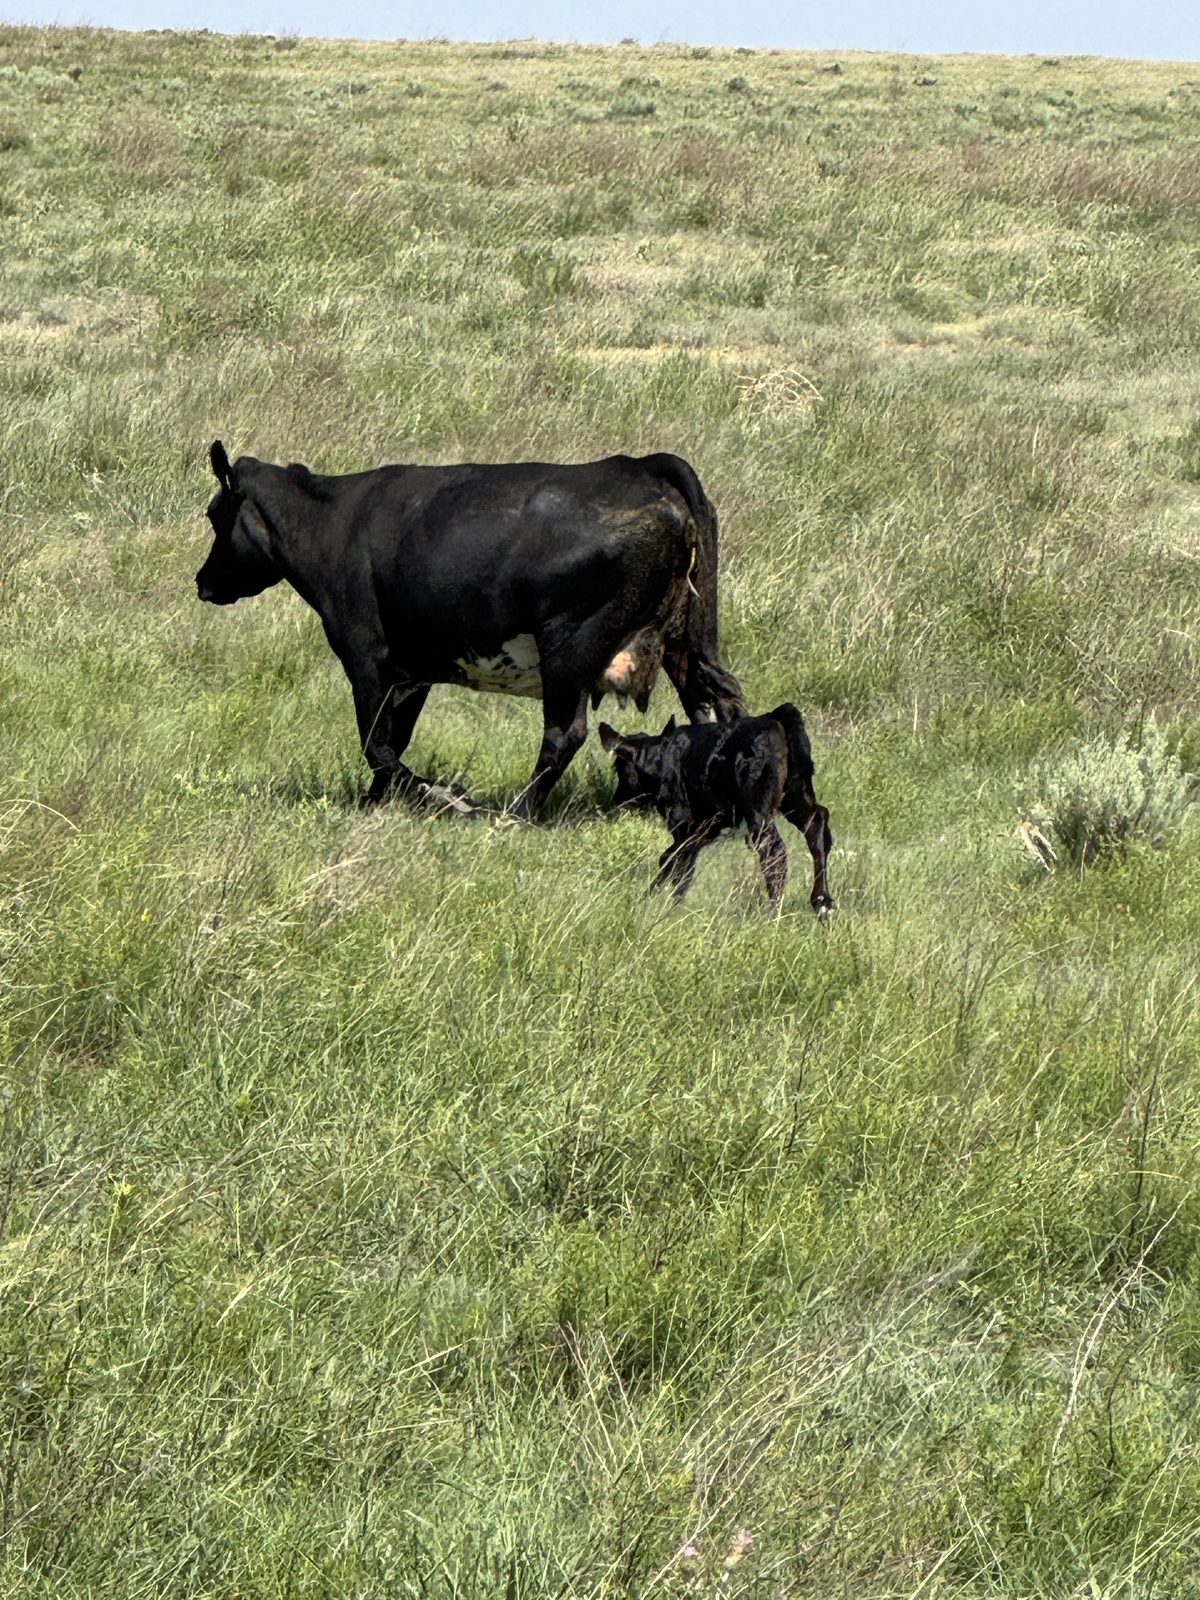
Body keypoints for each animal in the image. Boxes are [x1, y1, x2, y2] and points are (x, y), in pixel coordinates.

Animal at [196, 441, 745, 818]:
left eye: (213, 514)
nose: (202, 581)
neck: (330, 520)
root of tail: (641, 465)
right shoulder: (413, 668)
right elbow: (394, 741)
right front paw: (378, 804)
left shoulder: (365, 656)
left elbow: (377, 744)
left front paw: (444, 796)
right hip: (684, 644)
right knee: (717, 705)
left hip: (570, 648)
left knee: (563, 734)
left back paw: (518, 813)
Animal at [598, 704, 834, 916]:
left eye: (619, 767)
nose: (616, 800)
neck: (661, 758)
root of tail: (773, 717)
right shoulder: (703, 829)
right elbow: (673, 859)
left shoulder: (682, 822)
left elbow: (678, 864)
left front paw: (665, 906)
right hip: (796, 794)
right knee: (816, 823)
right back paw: (822, 901)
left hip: (758, 810)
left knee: (774, 851)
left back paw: (773, 911)